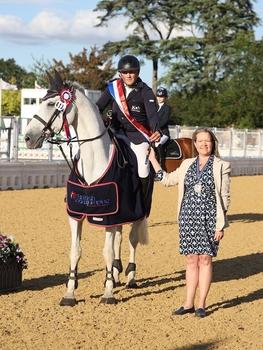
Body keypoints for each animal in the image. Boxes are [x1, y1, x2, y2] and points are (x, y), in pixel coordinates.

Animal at [24, 70, 154, 306]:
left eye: (51, 104)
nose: (28, 138)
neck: (95, 160)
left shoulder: (110, 215)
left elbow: (107, 252)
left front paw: (108, 294)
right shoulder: (76, 214)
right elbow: (75, 251)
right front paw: (69, 293)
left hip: (138, 212)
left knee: (132, 239)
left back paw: (130, 277)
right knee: (120, 238)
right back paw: (116, 274)